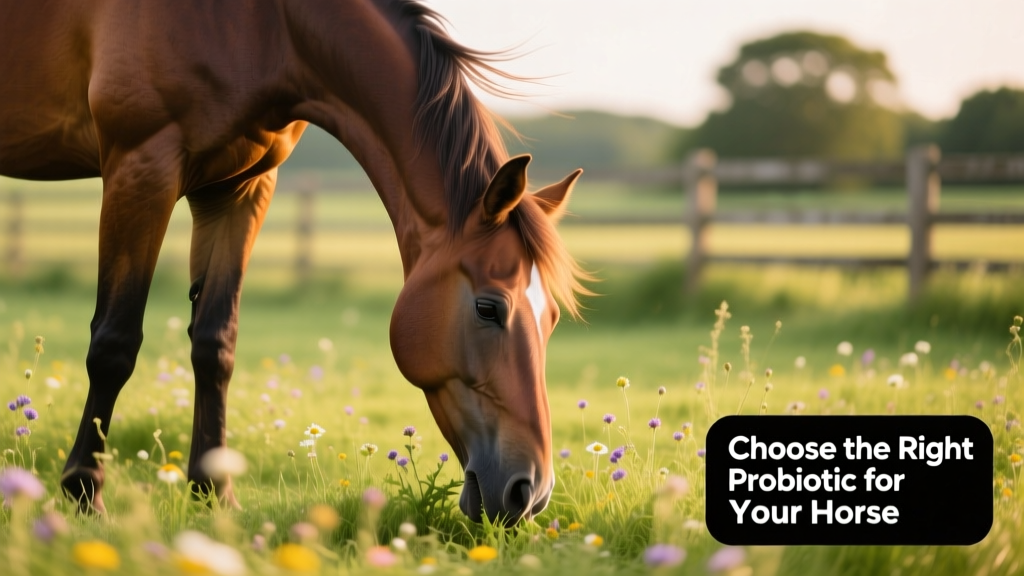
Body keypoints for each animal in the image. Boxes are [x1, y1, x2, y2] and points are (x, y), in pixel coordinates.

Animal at [0, 0, 587, 525]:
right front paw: (84, 493)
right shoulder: (141, 166)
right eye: (489, 308)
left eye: (553, 319)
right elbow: (114, 344)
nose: (530, 492)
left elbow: (215, 344)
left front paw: (214, 493)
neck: (262, 25)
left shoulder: (239, 188)